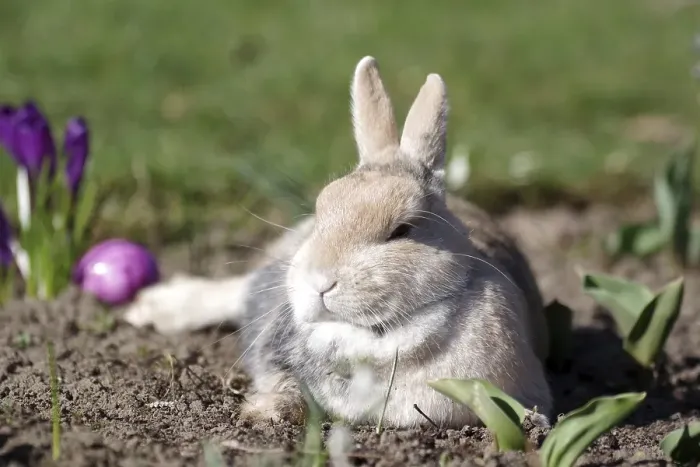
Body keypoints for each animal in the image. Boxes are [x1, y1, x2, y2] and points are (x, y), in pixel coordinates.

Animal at [125, 56, 553, 429]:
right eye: (322, 208)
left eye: (402, 230)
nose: (319, 281)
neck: (378, 335)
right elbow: (287, 389)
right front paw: (263, 413)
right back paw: (152, 307)